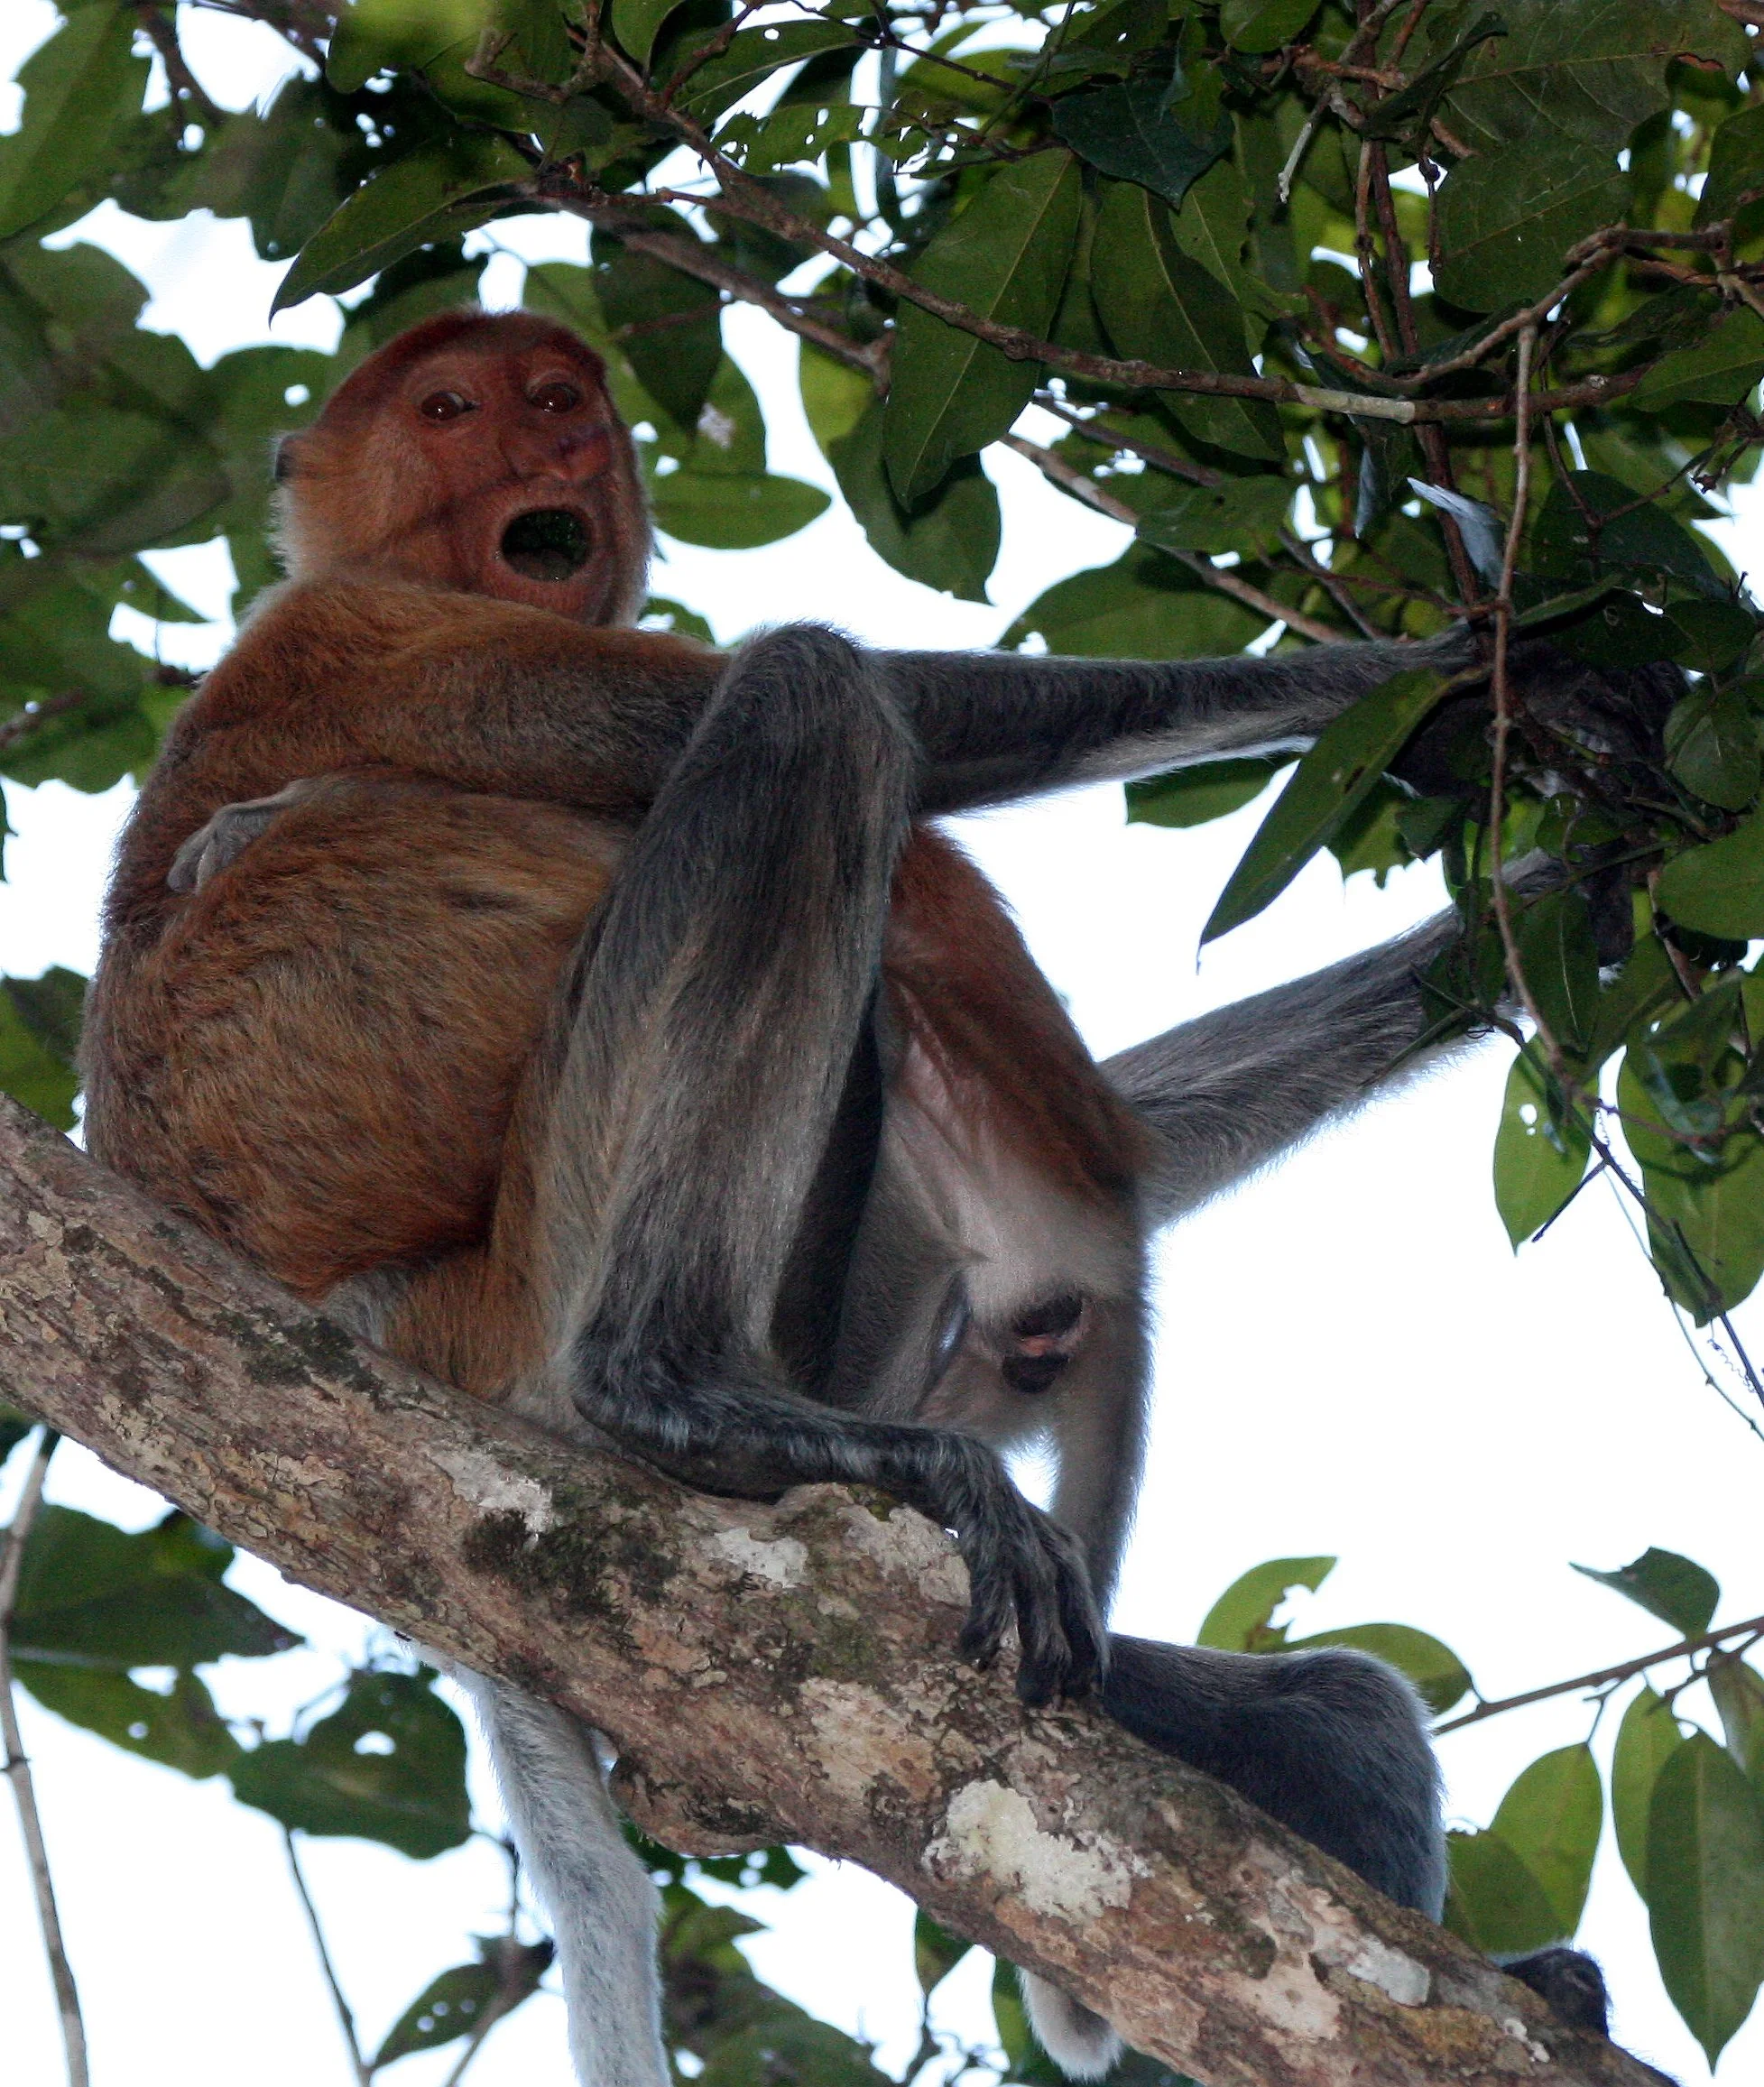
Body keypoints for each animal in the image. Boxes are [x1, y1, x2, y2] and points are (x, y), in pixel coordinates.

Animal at [80, 307, 1656, 2082]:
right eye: (450, 408)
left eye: (560, 401)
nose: (551, 453)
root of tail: (379, 1326)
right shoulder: (374, 630)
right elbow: (900, 712)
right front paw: (1451, 677)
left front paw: (1563, 867)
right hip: (547, 1254)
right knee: (811, 703)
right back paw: (688, 1396)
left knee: (1342, 1716)